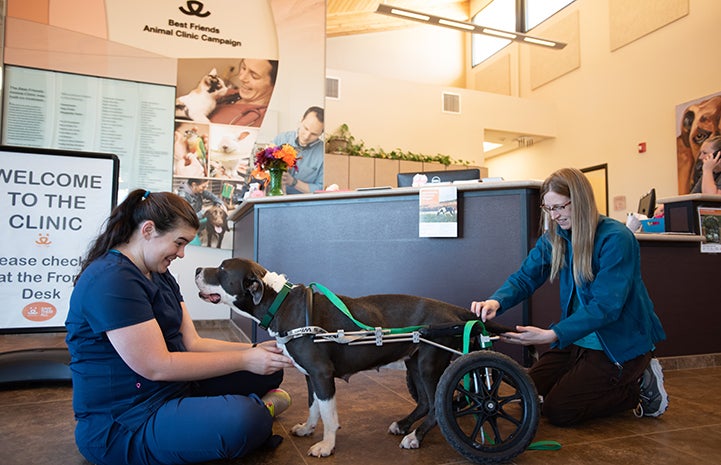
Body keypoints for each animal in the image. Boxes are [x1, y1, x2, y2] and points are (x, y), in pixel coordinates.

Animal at [194, 258, 516, 456]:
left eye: (221, 269)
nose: (196, 268)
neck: (278, 301)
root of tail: (454, 310)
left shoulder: (322, 374)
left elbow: (328, 413)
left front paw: (326, 445)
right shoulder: (311, 376)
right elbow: (313, 407)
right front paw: (308, 429)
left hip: (429, 363)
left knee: (438, 405)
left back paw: (415, 436)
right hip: (414, 363)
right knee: (425, 401)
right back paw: (403, 425)